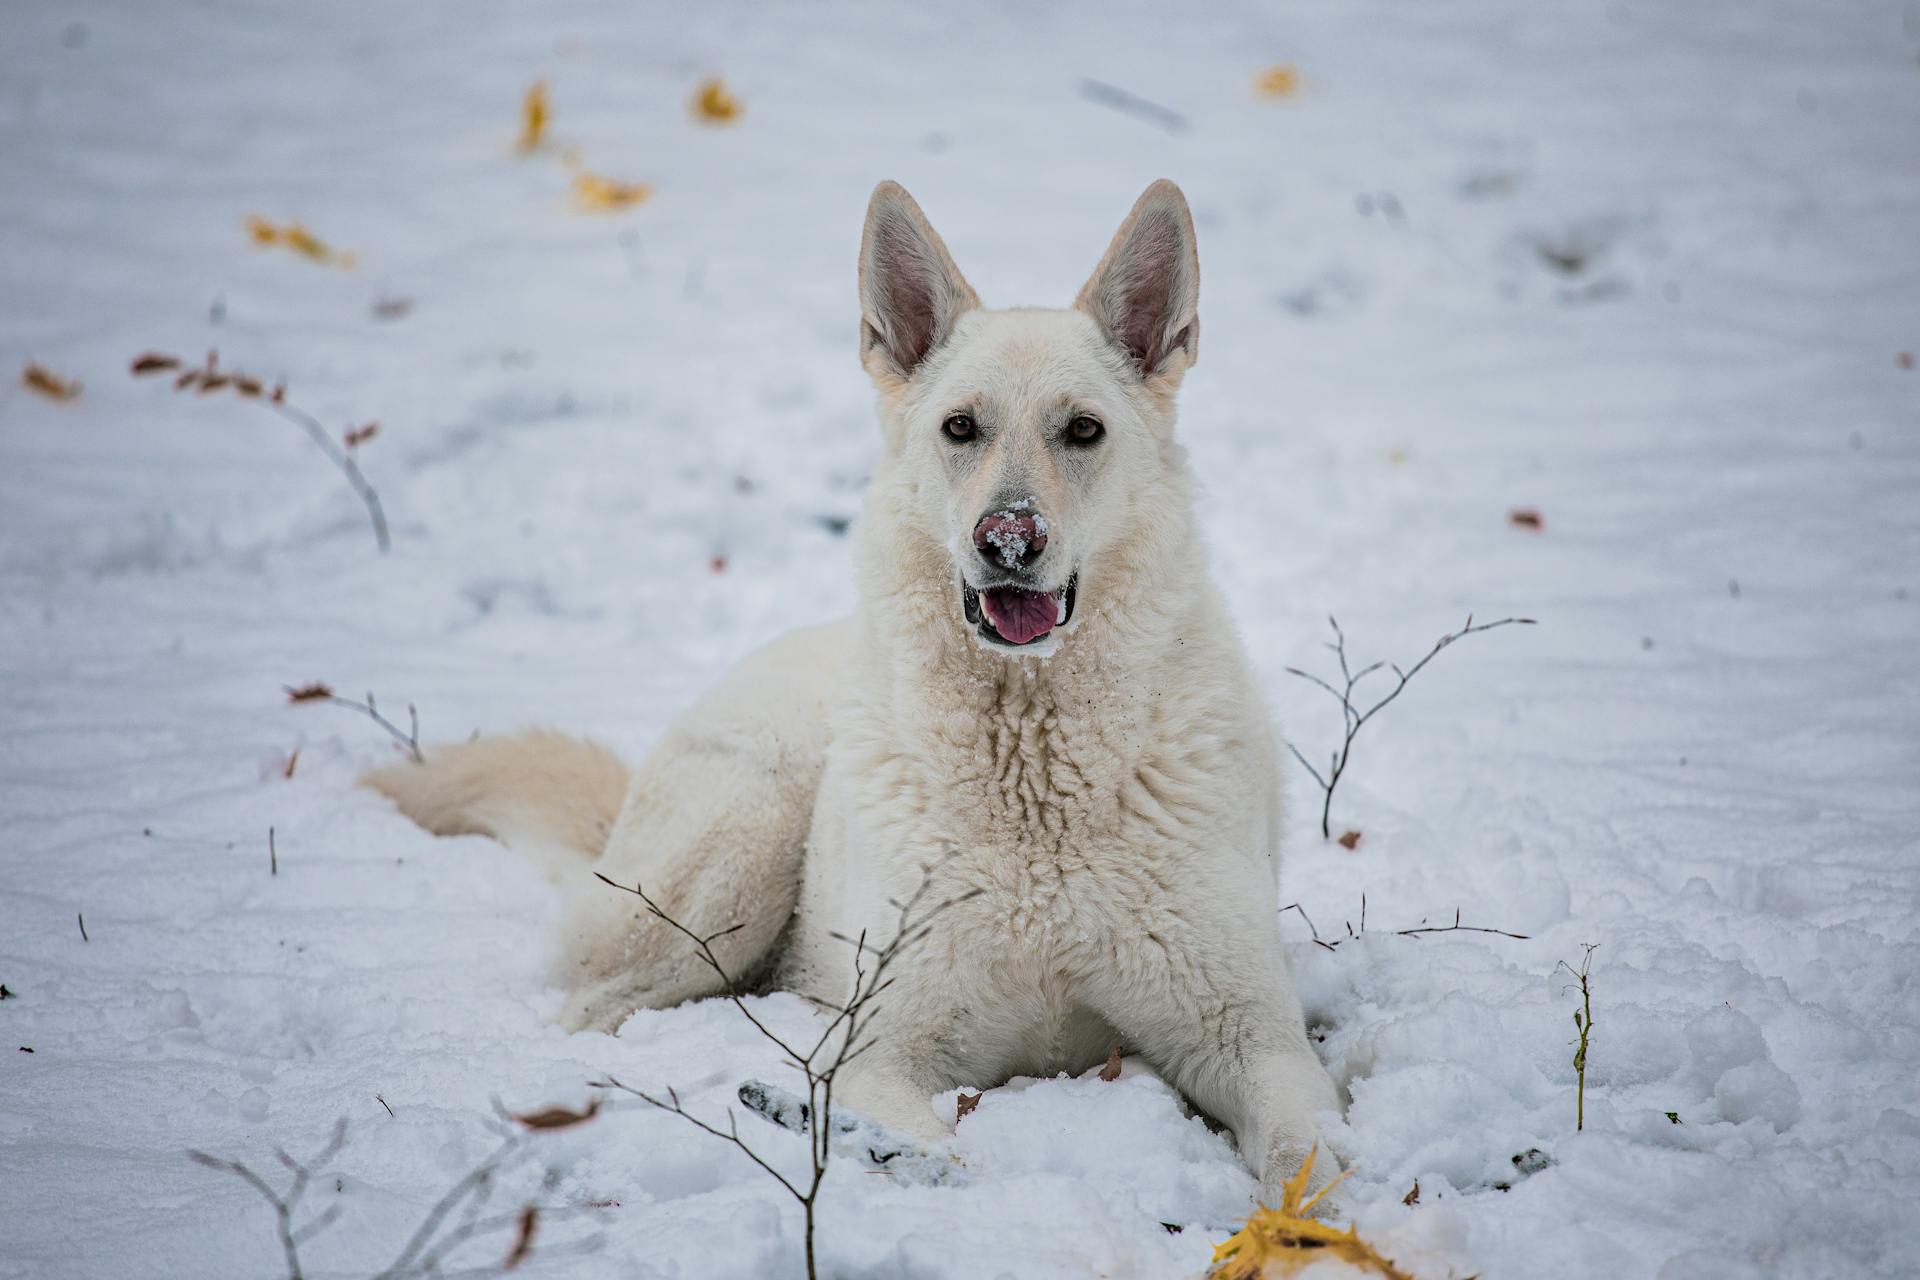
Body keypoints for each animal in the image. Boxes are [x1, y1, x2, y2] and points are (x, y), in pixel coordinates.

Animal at [366, 177, 1344, 1205]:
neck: (1036, 770)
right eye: (961, 428)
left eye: (1084, 431)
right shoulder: (884, 1050)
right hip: (741, 847)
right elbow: (936, 1160)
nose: (1008, 541)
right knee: (600, 1006)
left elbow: (1305, 1160)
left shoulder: (1255, 1043)